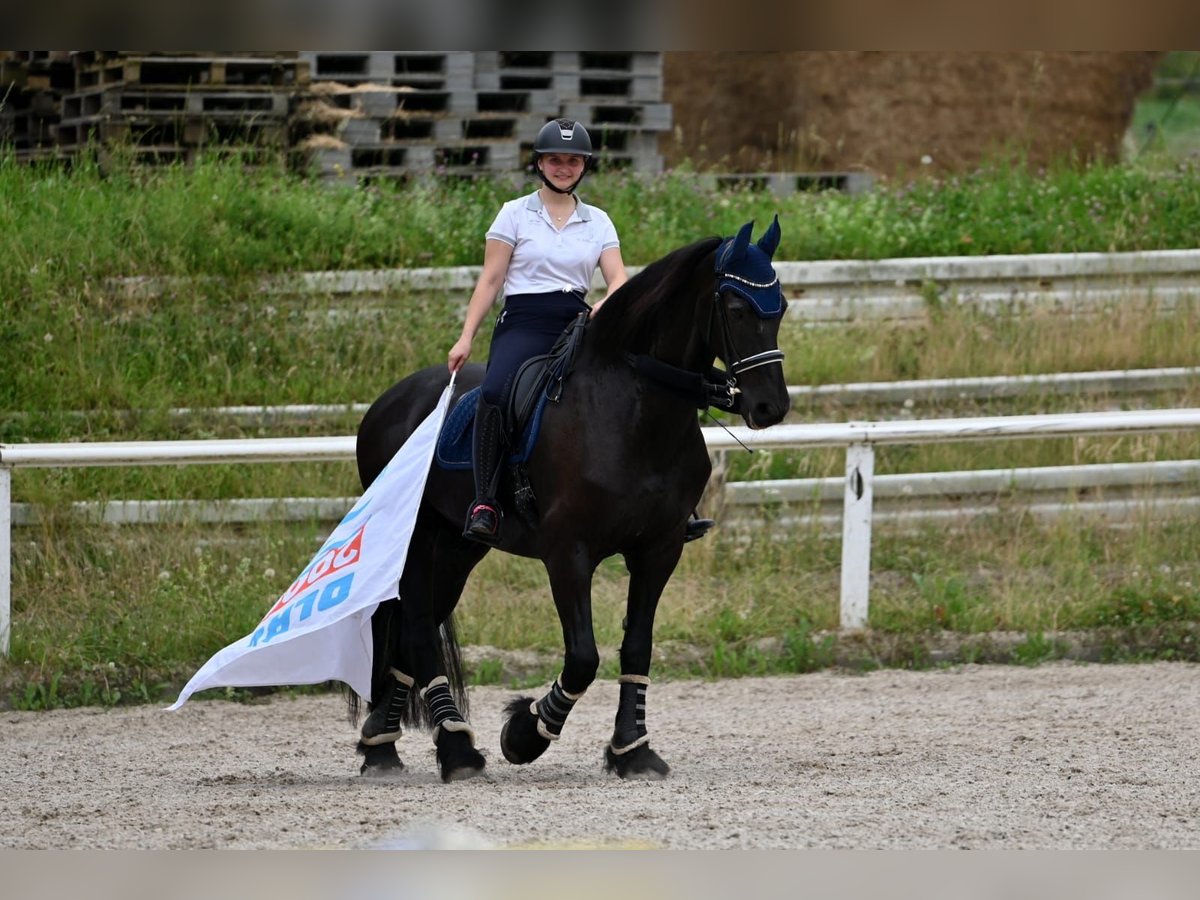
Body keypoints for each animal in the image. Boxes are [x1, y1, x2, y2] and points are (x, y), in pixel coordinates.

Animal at [350, 218, 792, 782]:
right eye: (735, 308)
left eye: (779, 307)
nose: (770, 406)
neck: (632, 408)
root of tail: (387, 403)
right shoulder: (568, 552)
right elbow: (583, 656)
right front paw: (524, 734)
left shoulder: (660, 548)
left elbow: (637, 647)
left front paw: (632, 750)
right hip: (418, 541)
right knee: (419, 634)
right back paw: (457, 753)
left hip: (457, 547)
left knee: (415, 628)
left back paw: (383, 747)